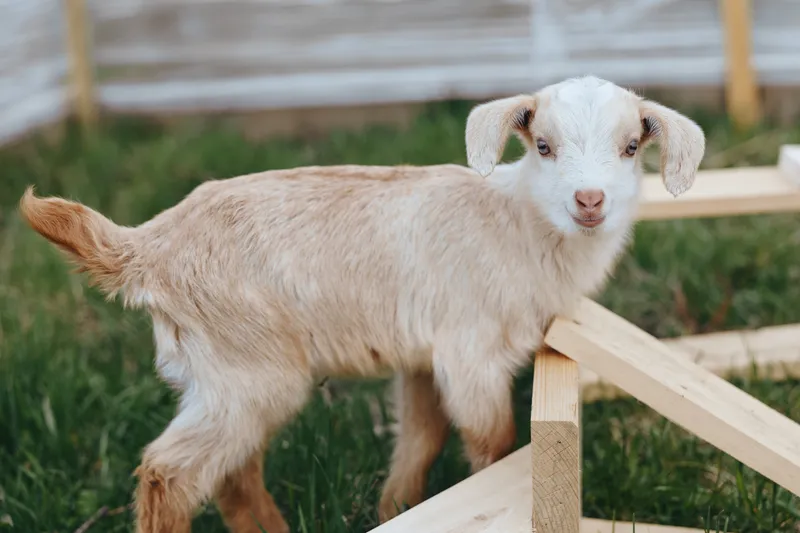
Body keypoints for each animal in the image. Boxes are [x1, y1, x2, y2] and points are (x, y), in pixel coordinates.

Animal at [19, 76, 705, 533]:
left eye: (631, 147)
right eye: (542, 146)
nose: (589, 201)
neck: (520, 224)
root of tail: (147, 247)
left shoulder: (425, 356)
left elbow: (421, 438)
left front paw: (395, 506)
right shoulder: (472, 352)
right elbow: (495, 446)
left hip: (224, 376)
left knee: (234, 475)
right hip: (249, 368)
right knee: (171, 473)